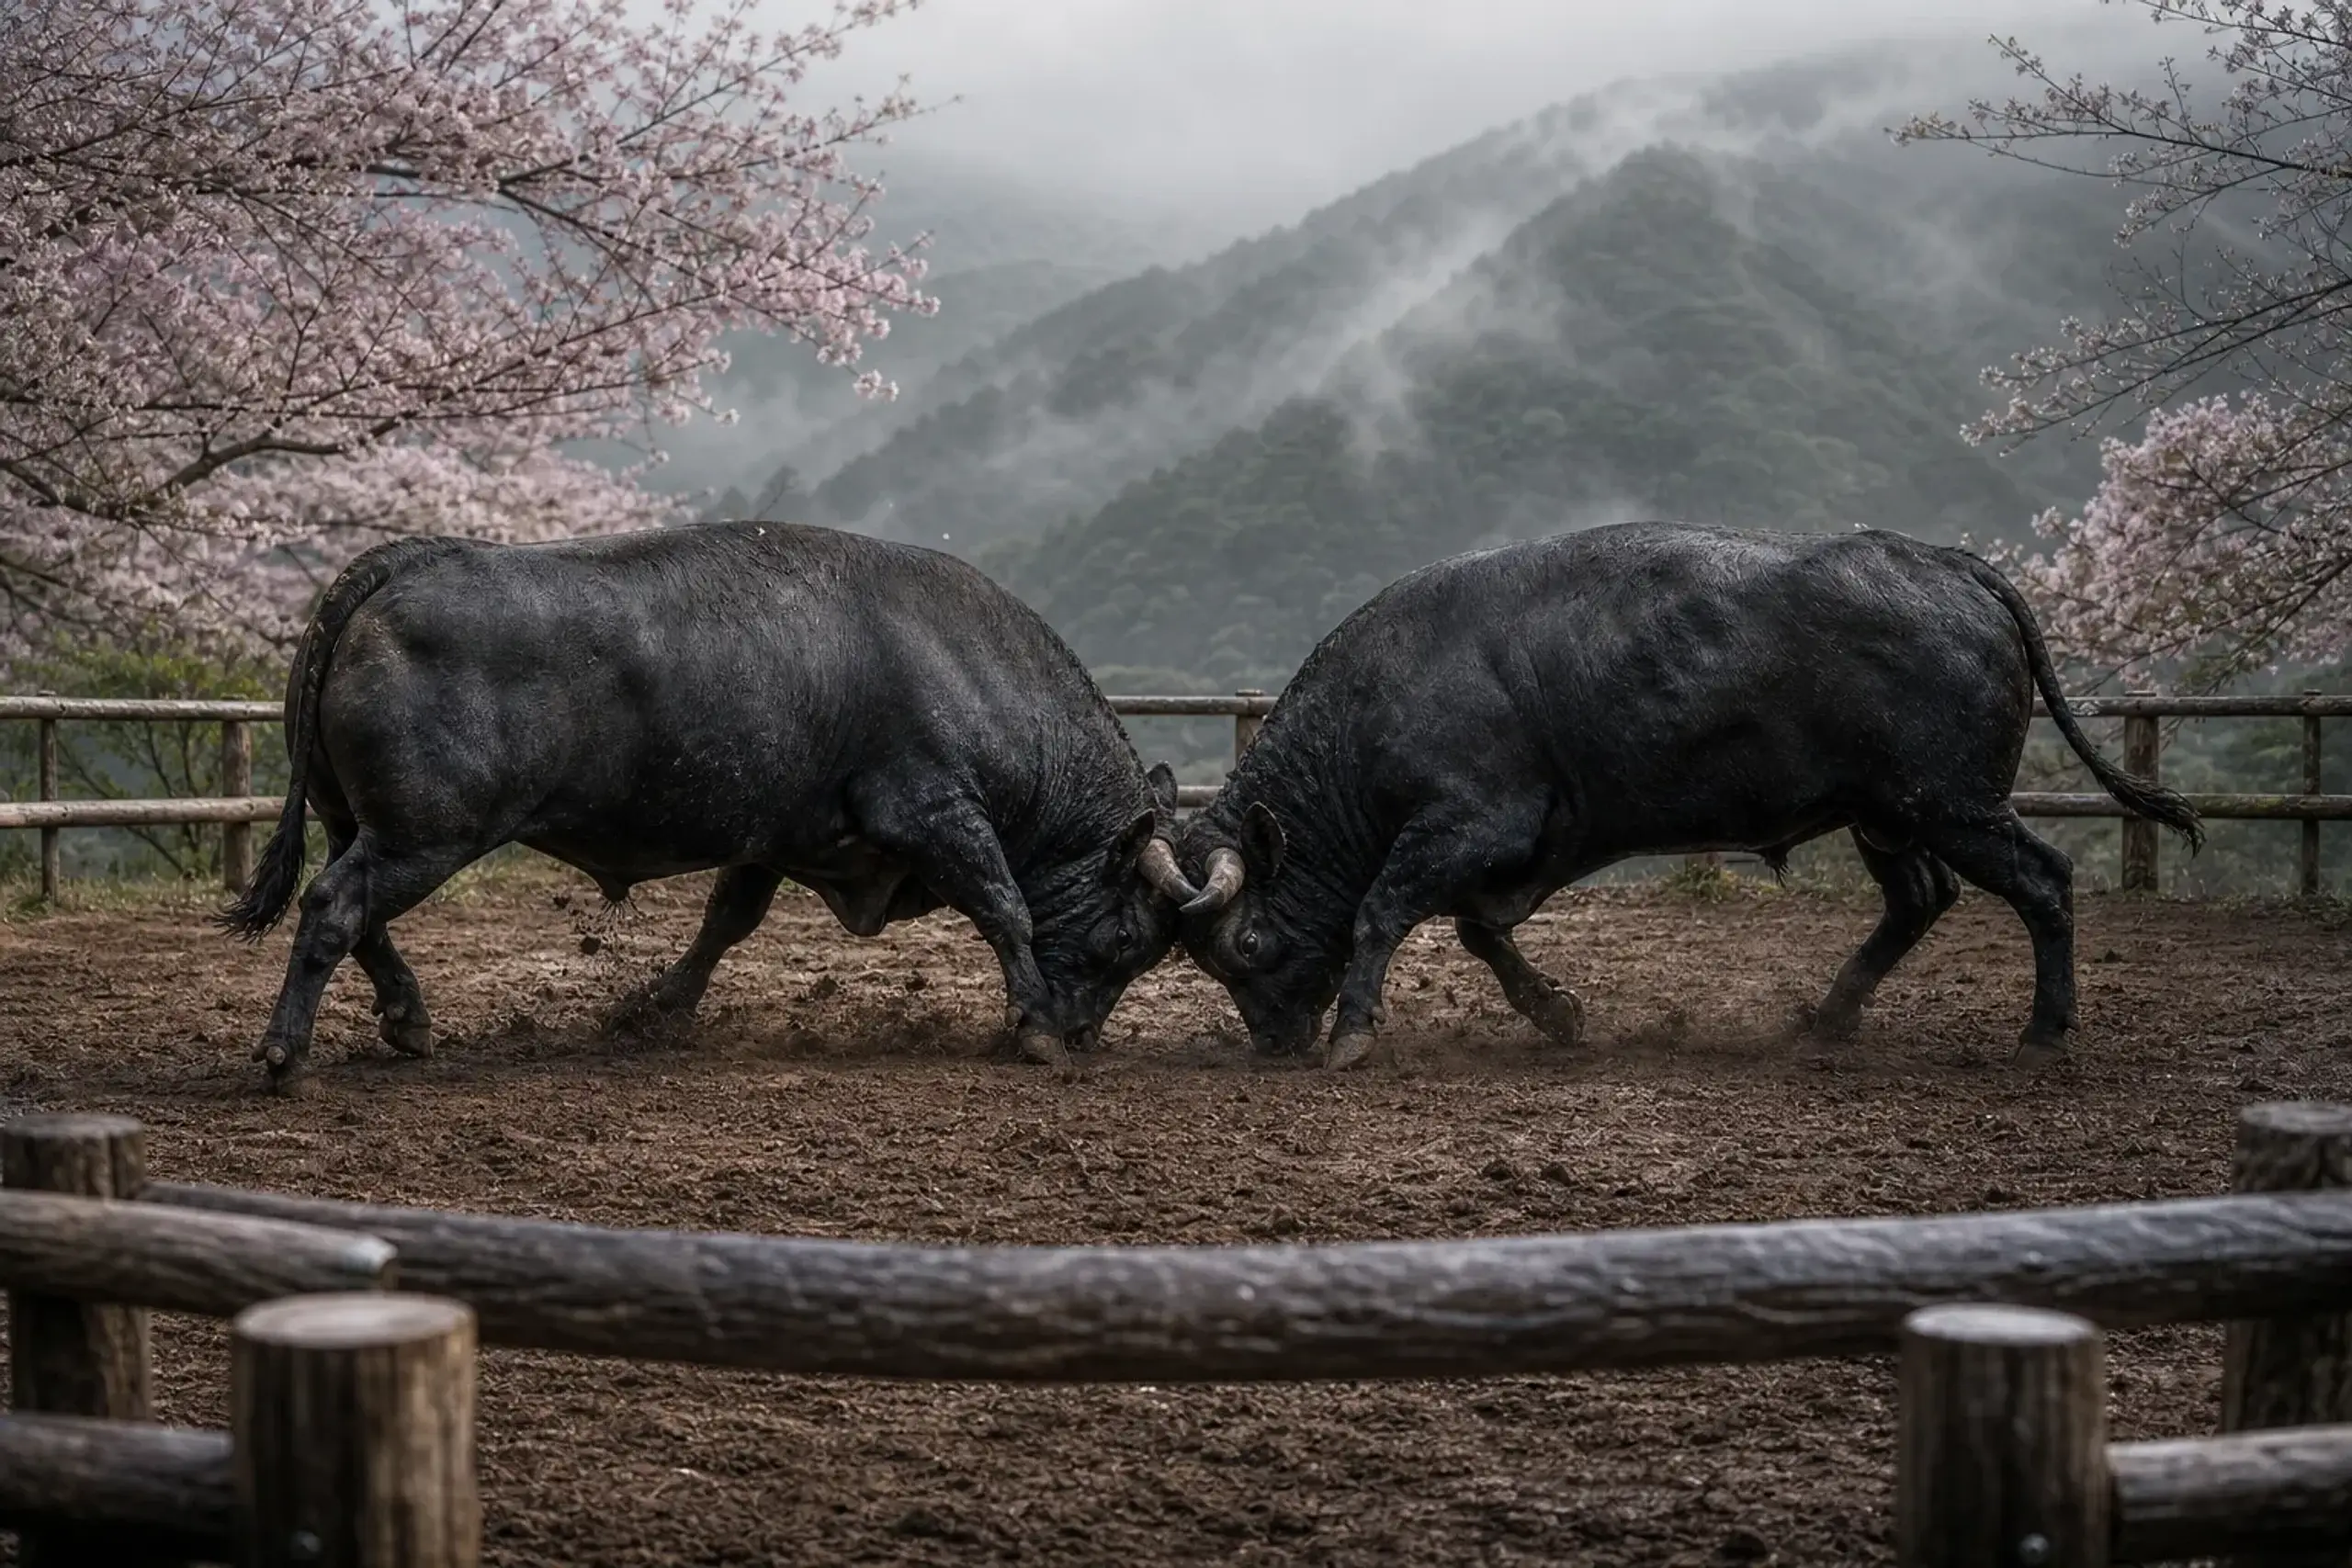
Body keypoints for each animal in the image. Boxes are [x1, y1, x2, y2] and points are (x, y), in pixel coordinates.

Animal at [219, 520, 1205, 1093]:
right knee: (334, 906)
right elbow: (1005, 906)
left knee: (357, 915)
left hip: (372, 828)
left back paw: (408, 1019)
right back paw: (286, 1054)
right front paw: (1033, 1026)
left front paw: (658, 1009)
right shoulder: (936, 814)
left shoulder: (774, 835)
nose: (1084, 1032)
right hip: (426, 833)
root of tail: (408, 558)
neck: (972, 663)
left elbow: (727, 920)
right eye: (1131, 939)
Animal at [1168, 522, 2204, 1070]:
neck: (1379, 696)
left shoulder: (1469, 825)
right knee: (1921, 898)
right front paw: (1557, 1013)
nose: (1272, 1042)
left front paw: (1352, 1033)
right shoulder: (1508, 850)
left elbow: (1385, 911)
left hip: (1955, 805)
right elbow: (1478, 931)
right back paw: (1829, 1016)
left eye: (1246, 945)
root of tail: (1944, 561)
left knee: (2044, 881)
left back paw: (2042, 1033)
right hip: (1889, 816)